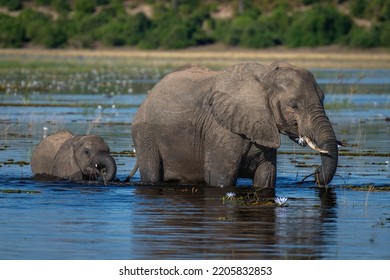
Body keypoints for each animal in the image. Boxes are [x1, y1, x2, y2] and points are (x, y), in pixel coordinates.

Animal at [131, 62, 338, 189]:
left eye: (323, 99)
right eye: (294, 105)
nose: (316, 173)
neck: (265, 76)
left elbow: (267, 176)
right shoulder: (220, 129)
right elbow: (221, 178)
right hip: (145, 134)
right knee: (151, 175)